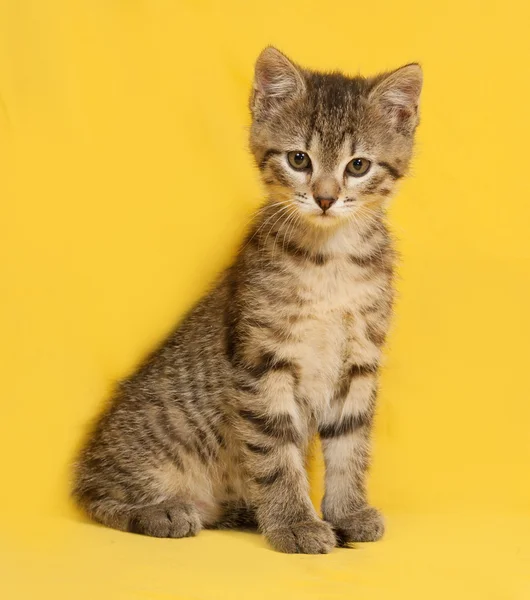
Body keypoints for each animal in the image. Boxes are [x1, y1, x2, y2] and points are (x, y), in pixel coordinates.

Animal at [74, 47, 420, 552]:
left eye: (358, 166)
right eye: (299, 159)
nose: (324, 198)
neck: (331, 260)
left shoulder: (359, 362)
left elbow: (350, 446)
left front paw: (347, 512)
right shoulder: (261, 361)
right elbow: (276, 453)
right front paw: (295, 523)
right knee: (97, 495)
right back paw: (160, 511)